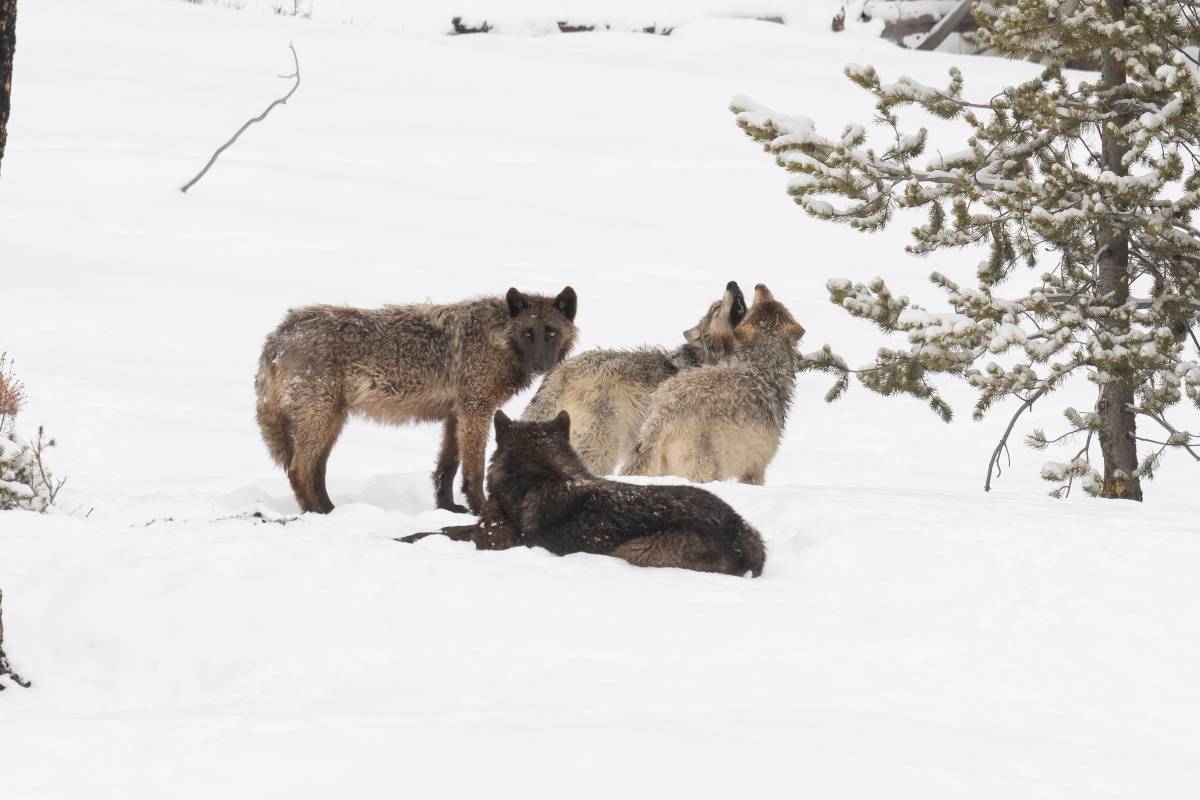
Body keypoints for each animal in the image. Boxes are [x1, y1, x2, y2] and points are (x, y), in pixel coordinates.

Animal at [253, 287, 576, 513]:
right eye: (528, 333)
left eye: (551, 332)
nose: (541, 367)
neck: (496, 339)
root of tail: (279, 333)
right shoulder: (476, 410)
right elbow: (473, 469)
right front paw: (480, 510)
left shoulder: (456, 415)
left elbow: (447, 467)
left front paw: (448, 508)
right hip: (321, 420)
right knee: (299, 471)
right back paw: (317, 515)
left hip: (331, 423)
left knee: (315, 471)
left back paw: (331, 511)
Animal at [398, 412, 763, 575]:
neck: (541, 470)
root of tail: (738, 528)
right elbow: (444, 527)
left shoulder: (493, 539)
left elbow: (441, 531)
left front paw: (402, 539)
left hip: (633, 551)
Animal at [619, 287, 806, 489]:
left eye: (771, 302)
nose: (760, 285)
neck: (764, 363)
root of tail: (661, 418)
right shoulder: (755, 468)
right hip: (707, 472)